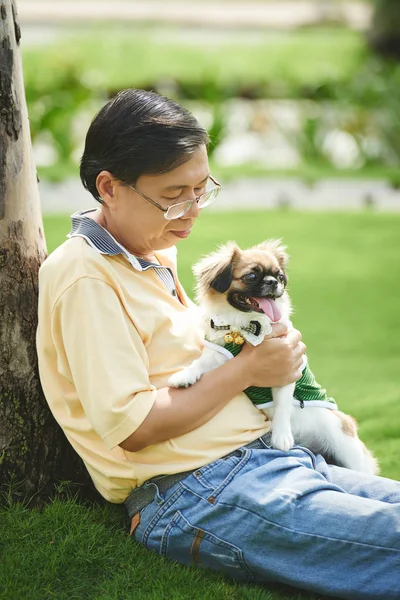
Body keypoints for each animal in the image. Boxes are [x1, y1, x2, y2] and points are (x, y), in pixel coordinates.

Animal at [169, 239, 378, 474]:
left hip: (346, 446)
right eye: (251, 276)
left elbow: (282, 406)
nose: (272, 282)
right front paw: (184, 376)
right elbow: (198, 364)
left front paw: (281, 438)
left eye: (279, 277)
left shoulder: (287, 369)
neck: (246, 327)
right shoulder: (218, 355)